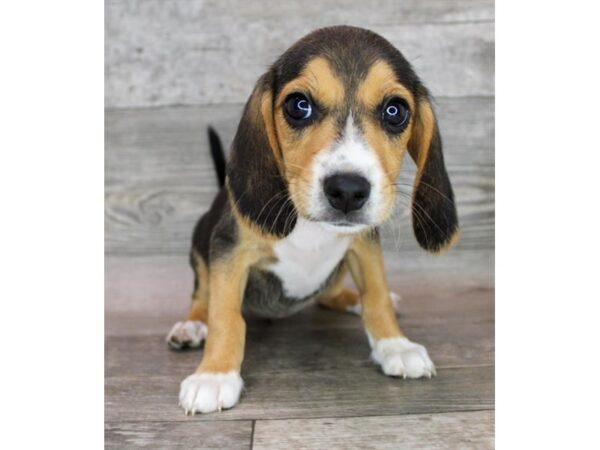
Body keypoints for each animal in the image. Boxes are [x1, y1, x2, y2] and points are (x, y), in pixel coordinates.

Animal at [166, 25, 458, 414]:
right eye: (298, 105)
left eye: (395, 111)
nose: (348, 190)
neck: (310, 225)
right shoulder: (228, 250)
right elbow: (225, 315)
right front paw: (214, 376)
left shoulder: (364, 243)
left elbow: (377, 295)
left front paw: (394, 344)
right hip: (200, 243)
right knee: (202, 294)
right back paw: (192, 326)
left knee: (329, 294)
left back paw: (350, 299)